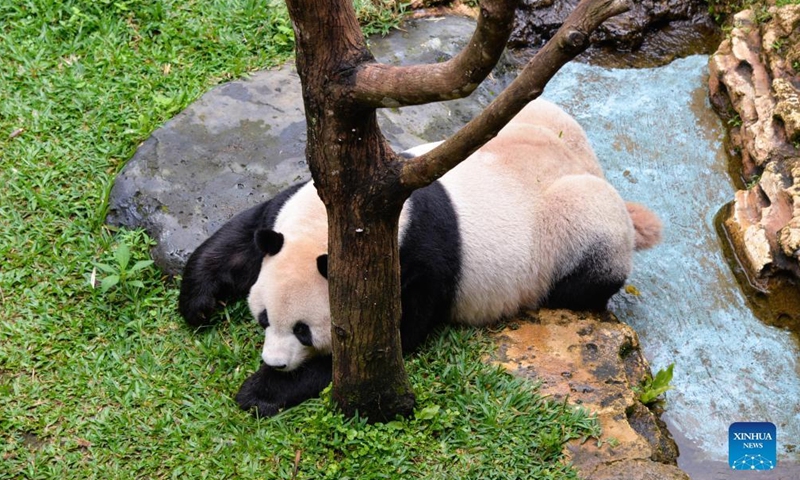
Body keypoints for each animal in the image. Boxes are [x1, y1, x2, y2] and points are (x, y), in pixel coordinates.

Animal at [180, 99, 664, 418]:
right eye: (263, 318)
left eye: (302, 331)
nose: (275, 361)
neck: (348, 223)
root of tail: (591, 167)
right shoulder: (294, 204)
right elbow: (240, 239)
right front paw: (198, 304)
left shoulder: (414, 258)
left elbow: (388, 339)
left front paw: (262, 390)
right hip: (538, 118)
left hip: (575, 225)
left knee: (587, 259)